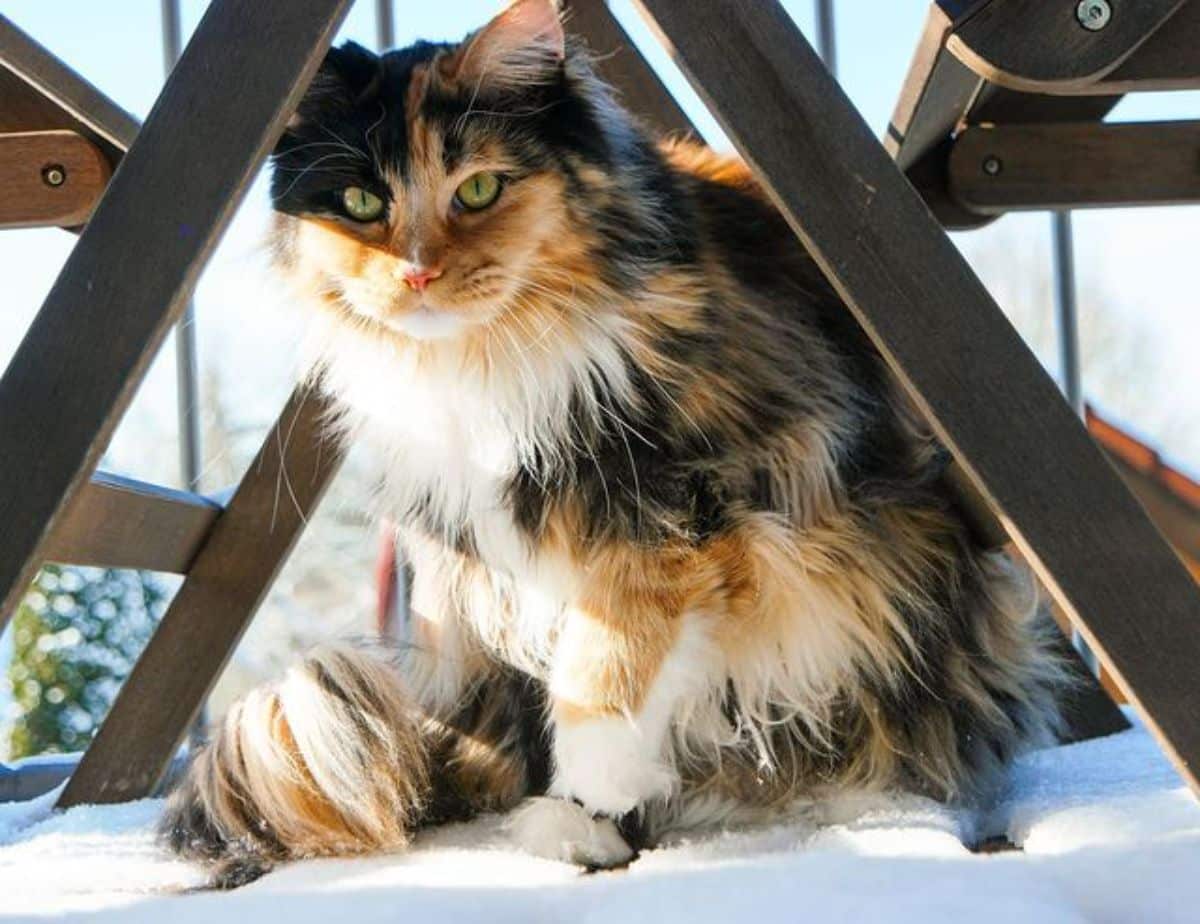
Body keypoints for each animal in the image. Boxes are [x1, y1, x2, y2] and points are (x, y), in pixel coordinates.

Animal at [157, 0, 1060, 883]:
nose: (416, 273)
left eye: (478, 187)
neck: (481, 364)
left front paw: (598, 777)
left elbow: (609, 657)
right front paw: (589, 806)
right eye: (360, 205)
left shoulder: (681, 499)